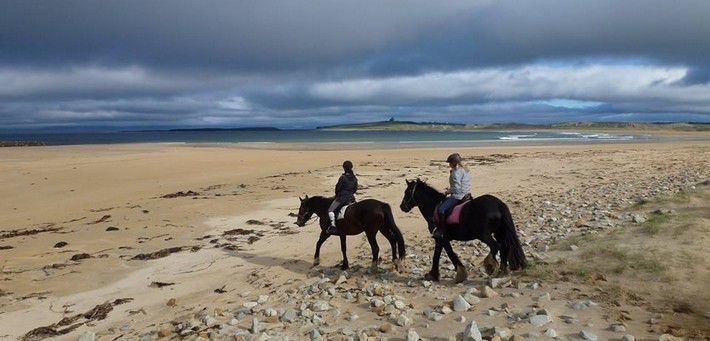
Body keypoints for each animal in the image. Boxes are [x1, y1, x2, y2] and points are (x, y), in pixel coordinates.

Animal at [400, 178, 528, 282]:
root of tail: (497, 203)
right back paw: (502, 272)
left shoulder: (441, 238)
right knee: (504, 248)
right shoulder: (441, 239)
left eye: (406, 192)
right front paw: (434, 274)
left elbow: (446, 254)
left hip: (484, 235)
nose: (402, 207)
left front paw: (458, 274)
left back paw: (490, 266)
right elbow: (439, 254)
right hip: (499, 232)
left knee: (496, 246)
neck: (434, 207)